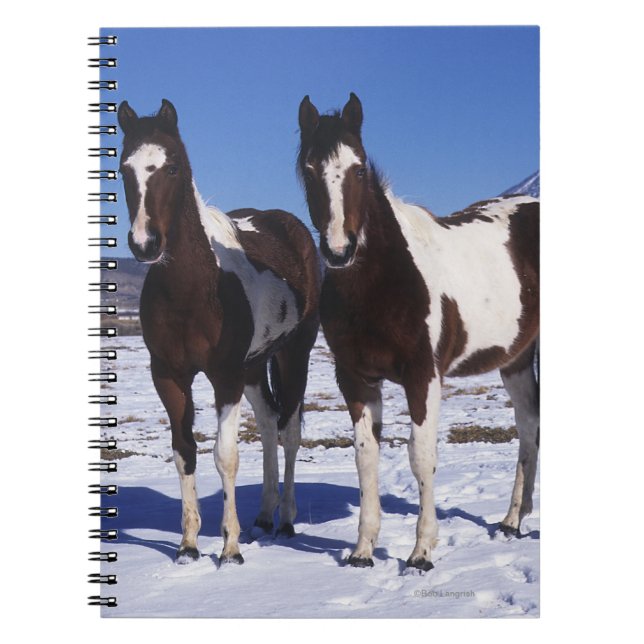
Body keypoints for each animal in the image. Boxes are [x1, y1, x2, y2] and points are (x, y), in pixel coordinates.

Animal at [117, 99, 320, 564]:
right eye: (123, 168)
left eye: (172, 167)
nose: (144, 244)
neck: (195, 288)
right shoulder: (169, 377)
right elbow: (185, 453)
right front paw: (189, 545)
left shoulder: (225, 376)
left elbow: (225, 456)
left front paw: (229, 549)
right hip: (255, 367)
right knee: (268, 424)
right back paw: (263, 516)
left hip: (292, 354)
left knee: (289, 432)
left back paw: (285, 520)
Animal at [297, 93, 539, 571]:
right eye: (309, 169)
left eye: (358, 168)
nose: (339, 251)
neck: (384, 279)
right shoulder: (355, 378)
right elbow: (366, 457)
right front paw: (362, 550)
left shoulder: (423, 376)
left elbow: (421, 456)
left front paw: (421, 552)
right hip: (517, 359)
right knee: (529, 425)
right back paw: (511, 521)